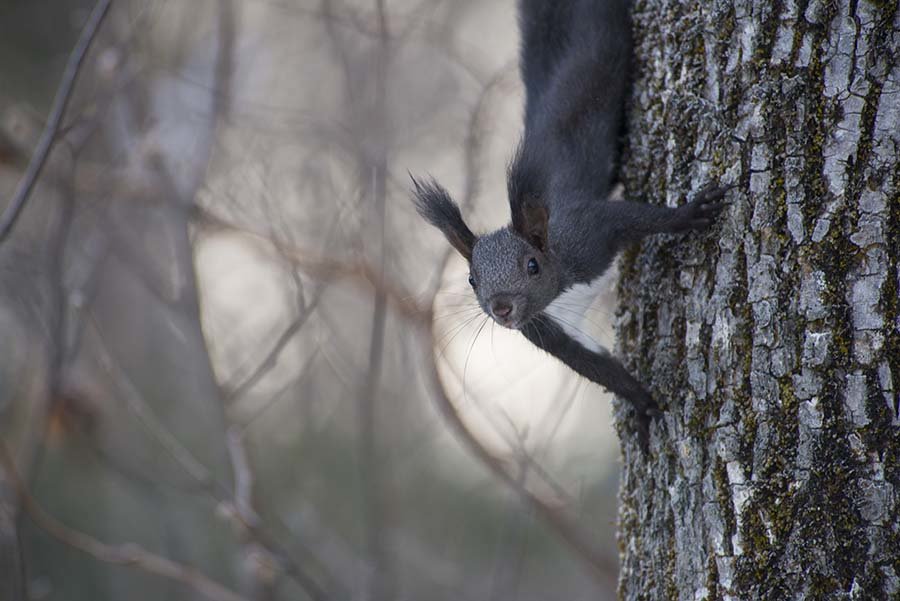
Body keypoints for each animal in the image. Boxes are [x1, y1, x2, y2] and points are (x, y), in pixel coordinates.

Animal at [412, 0, 728, 450]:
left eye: (532, 265)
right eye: (472, 280)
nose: (502, 308)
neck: (560, 284)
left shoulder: (590, 234)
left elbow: (637, 218)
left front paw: (690, 213)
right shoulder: (547, 331)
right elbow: (597, 367)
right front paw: (642, 405)